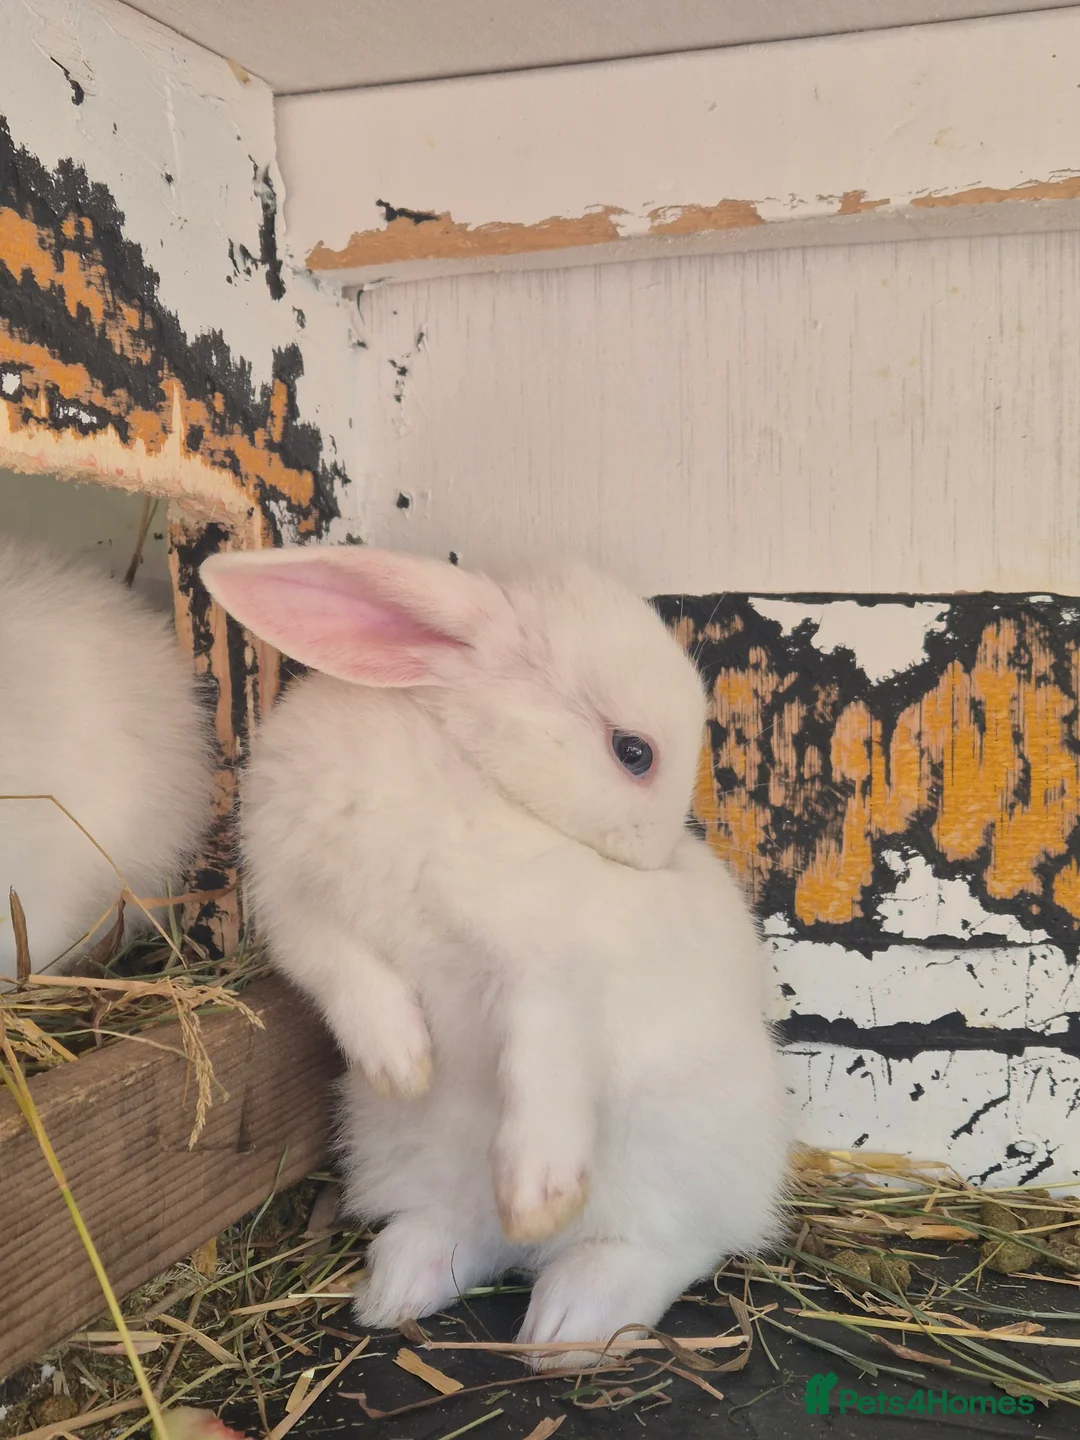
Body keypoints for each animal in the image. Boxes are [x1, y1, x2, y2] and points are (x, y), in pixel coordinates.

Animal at [200, 543, 791, 1366]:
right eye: (634, 753)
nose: (659, 859)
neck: (466, 765)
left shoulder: (546, 968)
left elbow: (543, 1064)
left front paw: (539, 1191)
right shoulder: (305, 918)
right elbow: (349, 981)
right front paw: (401, 1064)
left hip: (680, 1153)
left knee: (675, 1243)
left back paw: (566, 1325)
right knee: (471, 1234)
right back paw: (396, 1286)